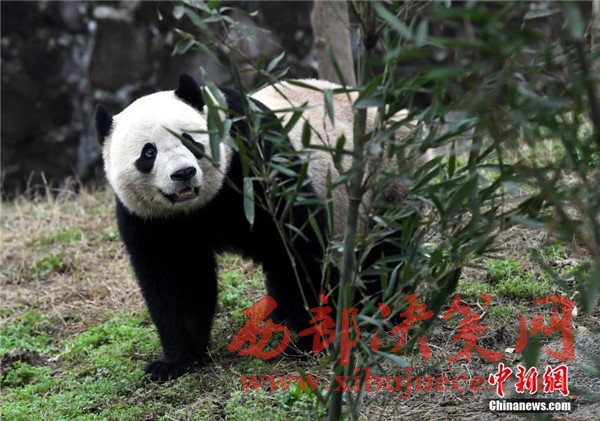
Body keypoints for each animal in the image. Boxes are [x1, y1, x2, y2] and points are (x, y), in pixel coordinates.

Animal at [95, 74, 418, 381]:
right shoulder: (153, 220)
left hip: (385, 176)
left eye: (190, 139)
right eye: (148, 153)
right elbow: (175, 280)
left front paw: (309, 341)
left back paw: (379, 311)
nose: (183, 173)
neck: (198, 206)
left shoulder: (256, 162)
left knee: (383, 250)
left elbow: (298, 246)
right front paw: (175, 362)